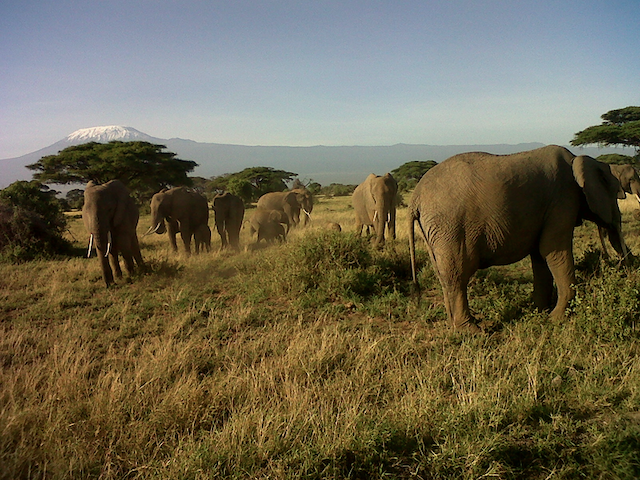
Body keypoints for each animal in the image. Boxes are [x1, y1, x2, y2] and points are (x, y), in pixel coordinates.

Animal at [408, 146, 628, 332]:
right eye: (616, 194)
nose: (620, 266)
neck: (578, 160)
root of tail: (415, 198)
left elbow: (541, 256)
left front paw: (539, 313)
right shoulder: (563, 199)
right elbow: (553, 251)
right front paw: (556, 320)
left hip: (435, 231)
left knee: (444, 275)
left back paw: (454, 327)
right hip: (450, 226)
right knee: (457, 274)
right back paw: (472, 331)